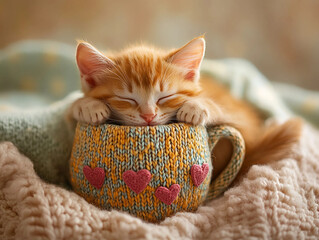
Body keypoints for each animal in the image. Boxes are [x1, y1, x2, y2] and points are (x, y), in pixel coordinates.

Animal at [70, 36, 302, 180]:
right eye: (126, 98)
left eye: (165, 96)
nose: (148, 115)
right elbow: (70, 108)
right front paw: (88, 106)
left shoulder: (238, 117)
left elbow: (216, 106)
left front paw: (197, 107)